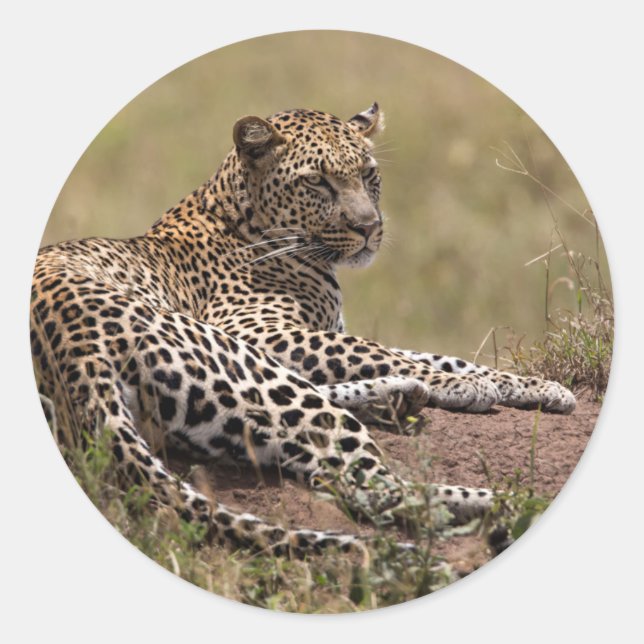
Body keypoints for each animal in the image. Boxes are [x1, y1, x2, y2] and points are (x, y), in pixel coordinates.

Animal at [31, 103, 576, 558]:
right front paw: (470, 385)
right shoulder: (260, 330)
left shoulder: (306, 332)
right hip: (231, 355)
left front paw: (535, 386)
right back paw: (510, 499)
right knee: (374, 488)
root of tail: (75, 349)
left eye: (369, 175)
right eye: (318, 183)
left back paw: (401, 397)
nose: (369, 227)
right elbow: (375, 350)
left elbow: (429, 353)